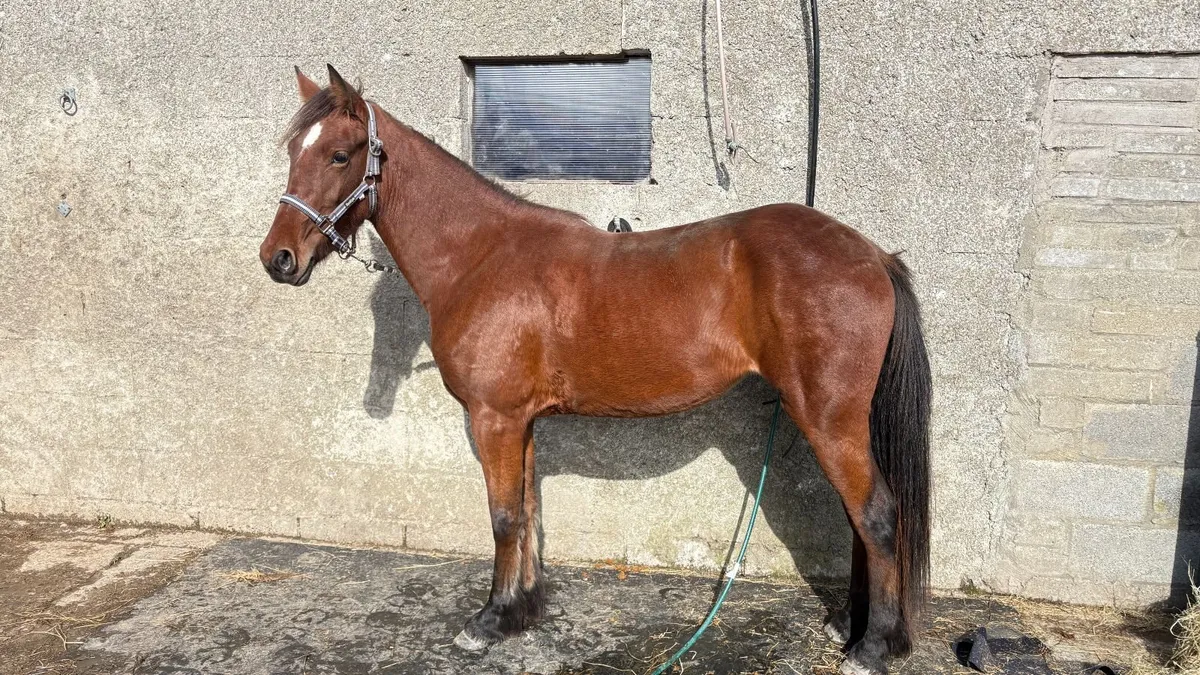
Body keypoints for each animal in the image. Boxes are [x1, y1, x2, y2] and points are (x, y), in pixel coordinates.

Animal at [259, 65, 932, 675]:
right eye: (294, 151)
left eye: (339, 155)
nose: (278, 259)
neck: (480, 256)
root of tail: (872, 255)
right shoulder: (521, 422)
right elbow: (527, 511)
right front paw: (524, 608)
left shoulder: (493, 419)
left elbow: (503, 518)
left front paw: (489, 621)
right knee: (860, 519)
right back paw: (853, 625)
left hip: (829, 418)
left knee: (876, 515)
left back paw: (873, 648)